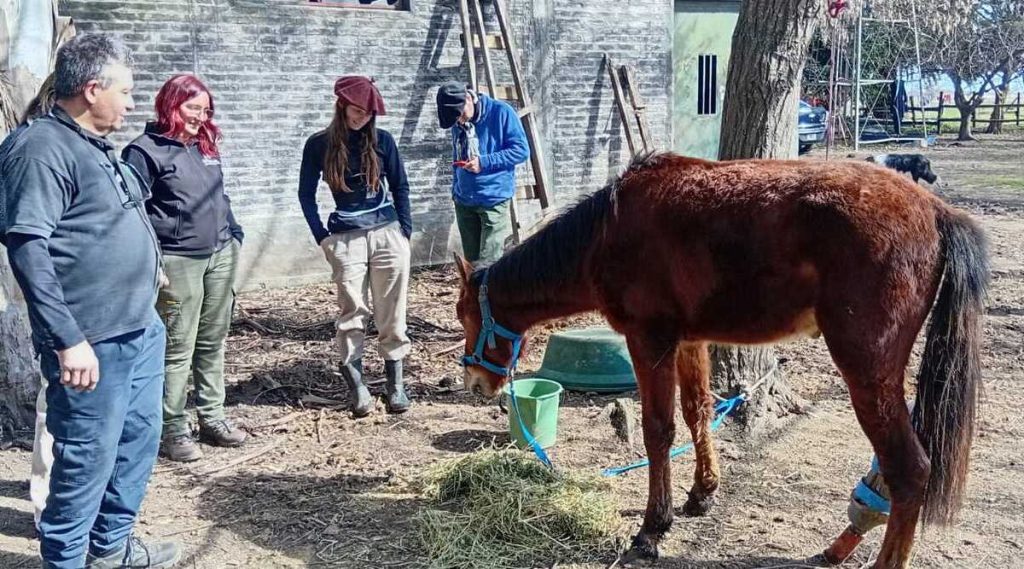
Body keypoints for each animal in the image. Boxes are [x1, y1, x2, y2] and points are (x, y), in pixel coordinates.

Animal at [454, 152, 988, 568]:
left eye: (464, 314)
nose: (475, 382)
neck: (606, 232)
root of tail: (935, 210)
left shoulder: (649, 341)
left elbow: (659, 429)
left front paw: (653, 527)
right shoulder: (690, 342)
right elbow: (697, 413)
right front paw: (702, 493)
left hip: (867, 374)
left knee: (910, 471)